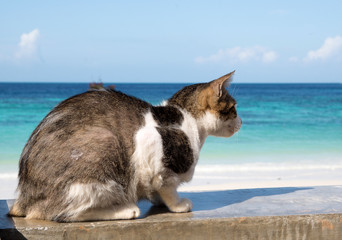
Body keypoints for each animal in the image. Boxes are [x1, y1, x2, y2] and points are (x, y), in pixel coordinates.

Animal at [8, 71, 243, 221]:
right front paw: (177, 205)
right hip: (103, 144)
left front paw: (158, 200)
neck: (187, 118)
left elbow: (156, 189)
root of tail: (24, 197)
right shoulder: (152, 150)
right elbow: (168, 187)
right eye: (234, 108)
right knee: (62, 213)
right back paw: (126, 210)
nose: (241, 122)